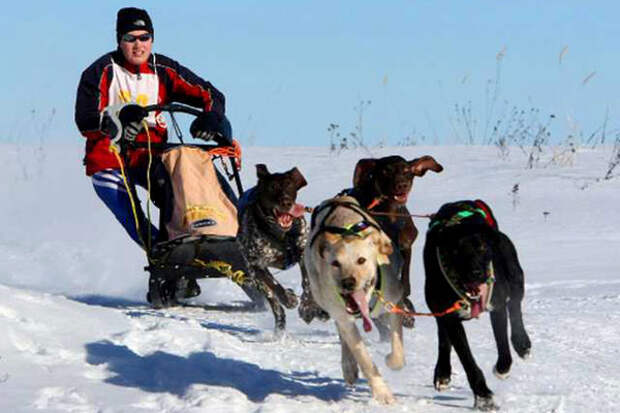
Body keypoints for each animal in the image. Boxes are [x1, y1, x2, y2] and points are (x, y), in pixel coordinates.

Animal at [236, 163, 330, 332]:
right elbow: (275, 285)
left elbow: (307, 283)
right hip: (254, 278)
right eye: (272, 187)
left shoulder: (303, 254)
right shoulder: (257, 264)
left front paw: (307, 307)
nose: (286, 202)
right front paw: (289, 299)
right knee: (274, 302)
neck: (281, 235)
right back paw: (280, 324)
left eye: (290, 185)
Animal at [302, 196, 404, 402]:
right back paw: (348, 366)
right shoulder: (343, 316)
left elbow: (397, 348)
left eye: (361, 260)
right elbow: (363, 357)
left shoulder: (393, 302)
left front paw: (392, 360)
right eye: (335, 263)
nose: (348, 282)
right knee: (343, 335)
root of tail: (336, 199)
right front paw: (382, 393)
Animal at [346, 154, 444, 326]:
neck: (390, 216)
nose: (402, 185)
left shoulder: (406, 247)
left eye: (407, 170)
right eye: (386, 171)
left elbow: (405, 282)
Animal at [424, 200, 532, 408]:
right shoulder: (450, 318)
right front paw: (483, 396)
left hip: (514, 273)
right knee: (443, 336)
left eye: (482, 247)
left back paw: (522, 343)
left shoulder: (497, 306)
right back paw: (442, 372)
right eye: (456, 250)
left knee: (515, 306)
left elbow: (503, 346)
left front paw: (502, 368)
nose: (477, 273)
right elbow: (466, 359)